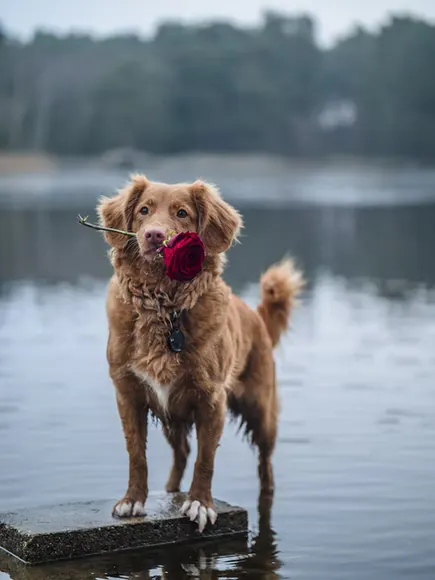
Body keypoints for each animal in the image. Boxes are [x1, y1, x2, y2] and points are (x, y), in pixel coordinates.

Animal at [97, 174, 304, 532]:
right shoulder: (129, 395)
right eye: (143, 210)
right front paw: (132, 500)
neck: (164, 307)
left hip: (261, 411)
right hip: (171, 416)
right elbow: (136, 453)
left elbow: (206, 459)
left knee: (265, 465)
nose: (154, 235)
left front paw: (200, 504)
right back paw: (170, 490)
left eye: (181, 213)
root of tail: (256, 316)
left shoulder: (211, 400)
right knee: (181, 453)